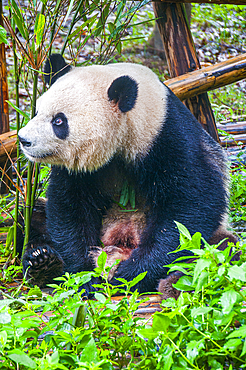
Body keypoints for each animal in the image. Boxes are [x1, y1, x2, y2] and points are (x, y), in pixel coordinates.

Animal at [17, 54, 236, 294]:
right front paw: (85, 273)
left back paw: (174, 282)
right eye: (37, 112)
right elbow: (69, 208)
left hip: (215, 240)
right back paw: (43, 261)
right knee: (32, 217)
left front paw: (132, 273)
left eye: (58, 121)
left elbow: (190, 206)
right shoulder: (76, 169)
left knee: (218, 249)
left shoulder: (168, 137)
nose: (23, 140)